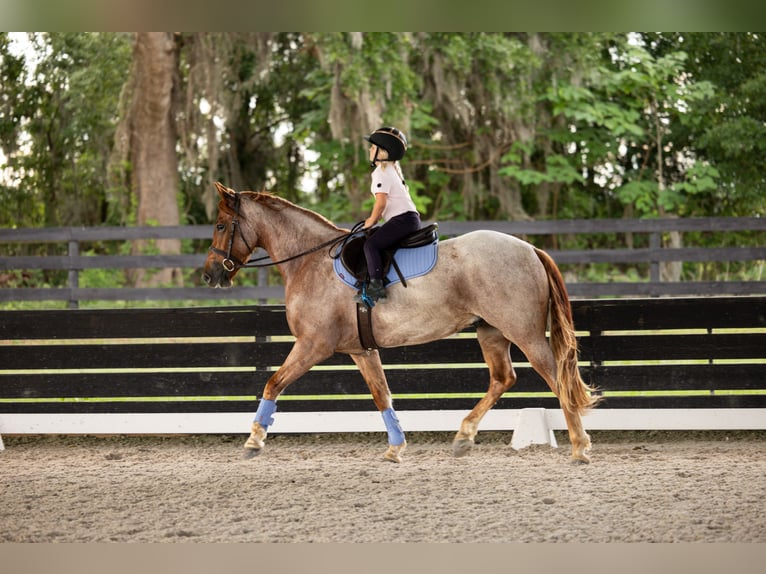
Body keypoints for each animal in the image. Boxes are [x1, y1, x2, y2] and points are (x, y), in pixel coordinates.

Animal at [203, 182, 599, 463]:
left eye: (221, 225)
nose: (209, 275)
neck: (311, 261)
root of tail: (530, 248)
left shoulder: (313, 345)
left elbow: (273, 384)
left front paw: (255, 438)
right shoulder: (361, 350)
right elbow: (382, 395)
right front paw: (396, 447)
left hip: (525, 333)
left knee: (556, 377)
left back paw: (579, 446)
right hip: (491, 331)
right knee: (503, 378)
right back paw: (464, 436)